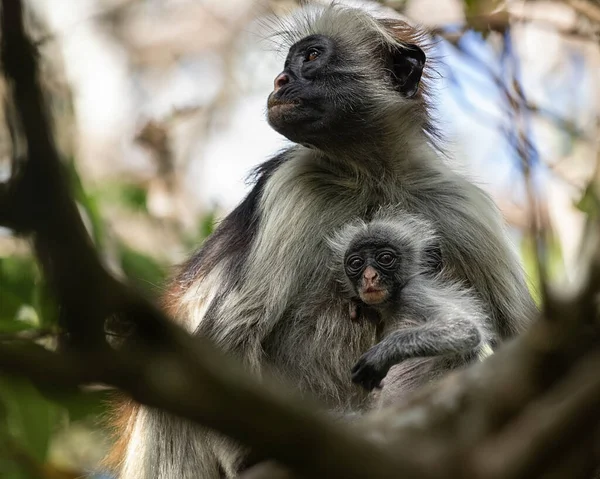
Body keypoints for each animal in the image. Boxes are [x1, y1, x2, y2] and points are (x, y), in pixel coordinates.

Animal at [328, 216, 492, 392]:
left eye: (385, 259)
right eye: (356, 263)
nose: (369, 276)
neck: (395, 301)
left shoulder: (414, 294)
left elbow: (467, 329)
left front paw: (380, 356)